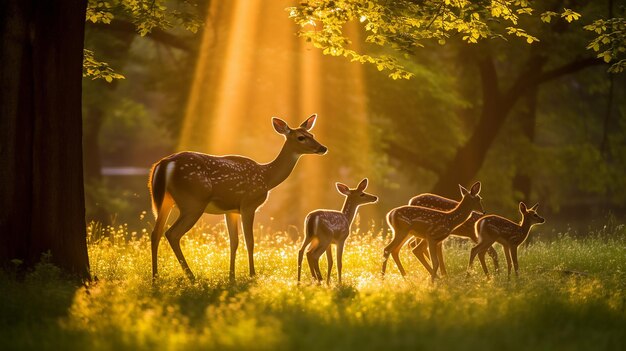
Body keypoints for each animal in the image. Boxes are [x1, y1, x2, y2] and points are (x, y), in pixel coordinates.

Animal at [147, 115, 326, 280]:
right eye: (301, 137)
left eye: (312, 134)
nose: (323, 148)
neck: (266, 177)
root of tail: (163, 164)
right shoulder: (248, 204)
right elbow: (250, 241)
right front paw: (252, 275)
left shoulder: (231, 210)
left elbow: (233, 242)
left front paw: (231, 276)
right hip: (192, 202)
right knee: (172, 233)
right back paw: (191, 277)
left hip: (166, 202)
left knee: (155, 233)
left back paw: (155, 278)